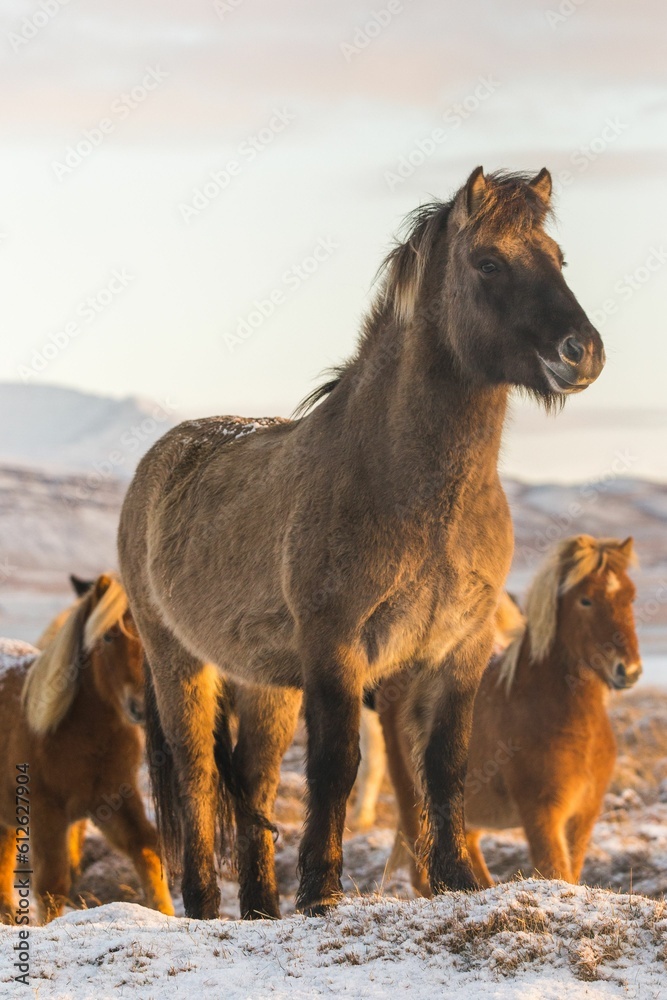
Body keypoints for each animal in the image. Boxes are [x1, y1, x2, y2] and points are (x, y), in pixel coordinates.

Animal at [0, 574, 174, 922]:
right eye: (107, 637)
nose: (141, 707)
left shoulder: (115, 801)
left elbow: (147, 848)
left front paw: (168, 914)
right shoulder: (47, 812)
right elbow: (52, 884)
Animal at [118, 166, 605, 920]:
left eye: (557, 257)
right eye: (488, 262)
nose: (581, 352)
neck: (409, 487)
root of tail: (160, 457)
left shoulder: (459, 648)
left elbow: (445, 763)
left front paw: (456, 880)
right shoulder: (337, 647)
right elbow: (336, 765)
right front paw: (322, 891)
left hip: (265, 683)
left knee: (254, 780)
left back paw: (261, 910)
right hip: (180, 663)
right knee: (197, 772)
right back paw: (202, 904)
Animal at [381, 535, 641, 894]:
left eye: (630, 596)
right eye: (586, 600)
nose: (628, 670)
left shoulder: (583, 816)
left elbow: (571, 872)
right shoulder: (541, 815)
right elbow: (555, 871)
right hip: (411, 795)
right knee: (421, 876)